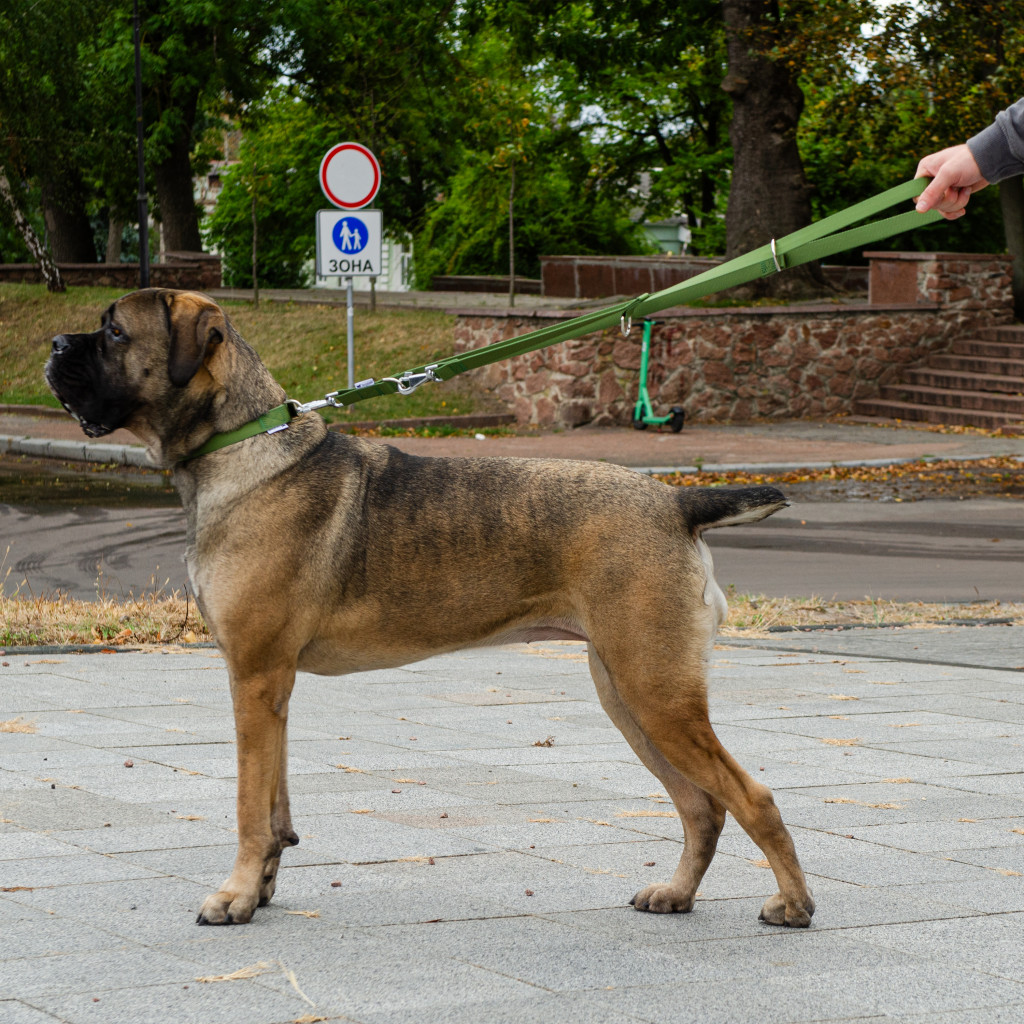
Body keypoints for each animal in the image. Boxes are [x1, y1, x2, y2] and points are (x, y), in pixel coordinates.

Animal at [45, 288, 814, 927]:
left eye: (114, 331)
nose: (54, 344)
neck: (240, 444)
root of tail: (676, 502)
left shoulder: (253, 676)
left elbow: (247, 807)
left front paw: (233, 896)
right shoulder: (271, 685)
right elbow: (276, 806)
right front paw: (259, 888)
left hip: (655, 690)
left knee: (751, 797)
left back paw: (793, 903)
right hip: (626, 692)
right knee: (702, 806)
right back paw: (677, 893)